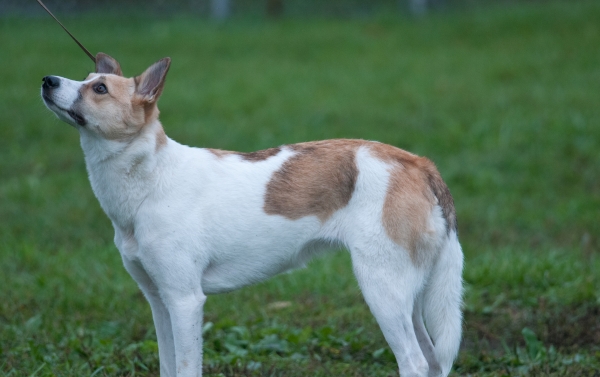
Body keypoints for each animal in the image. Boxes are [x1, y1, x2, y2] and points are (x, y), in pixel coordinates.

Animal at [41, 53, 464, 376]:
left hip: (382, 290)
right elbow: (168, 366)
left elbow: (187, 367)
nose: (47, 80)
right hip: (407, 299)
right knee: (432, 361)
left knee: (414, 362)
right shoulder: (159, 302)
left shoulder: (185, 301)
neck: (151, 179)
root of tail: (418, 163)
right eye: (86, 78)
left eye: (99, 88)